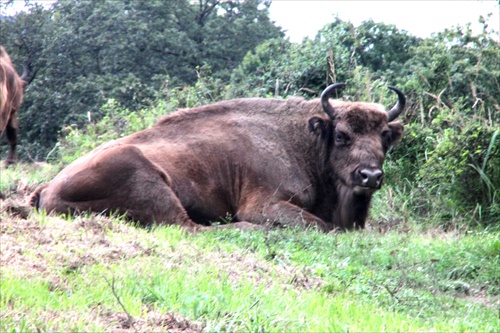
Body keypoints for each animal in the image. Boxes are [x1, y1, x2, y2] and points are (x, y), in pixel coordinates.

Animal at [30, 83, 406, 231]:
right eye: (341, 135)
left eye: (384, 137)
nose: (370, 176)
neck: (305, 140)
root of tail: (47, 188)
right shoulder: (265, 204)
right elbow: (322, 226)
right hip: (146, 178)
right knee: (190, 227)